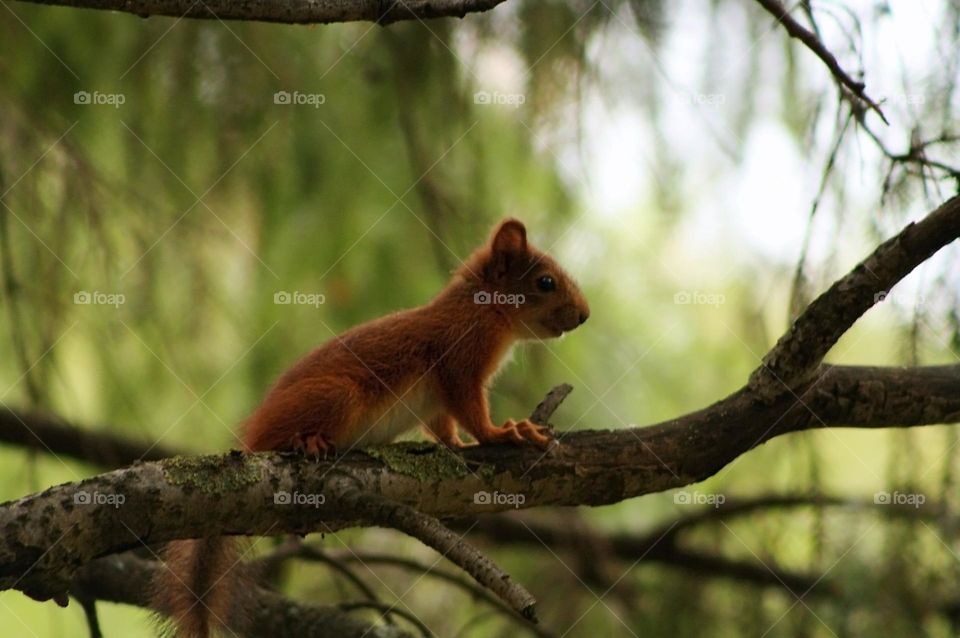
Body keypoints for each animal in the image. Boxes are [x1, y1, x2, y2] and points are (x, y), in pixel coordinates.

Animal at [156, 218, 589, 637]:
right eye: (545, 283)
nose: (585, 315)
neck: (482, 308)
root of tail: (248, 441)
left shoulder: (437, 402)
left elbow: (442, 426)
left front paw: (457, 444)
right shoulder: (460, 360)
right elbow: (471, 411)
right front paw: (502, 432)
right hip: (339, 395)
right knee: (277, 438)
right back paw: (306, 440)